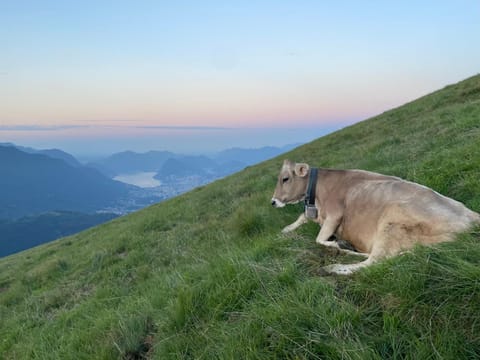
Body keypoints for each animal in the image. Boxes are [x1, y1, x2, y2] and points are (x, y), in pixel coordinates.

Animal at [272, 159, 478, 274]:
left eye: (285, 179)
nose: (273, 201)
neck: (318, 195)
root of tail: (473, 220)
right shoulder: (317, 214)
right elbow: (302, 217)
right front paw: (286, 229)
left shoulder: (334, 215)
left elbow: (318, 239)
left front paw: (336, 244)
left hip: (390, 220)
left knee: (374, 262)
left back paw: (333, 265)